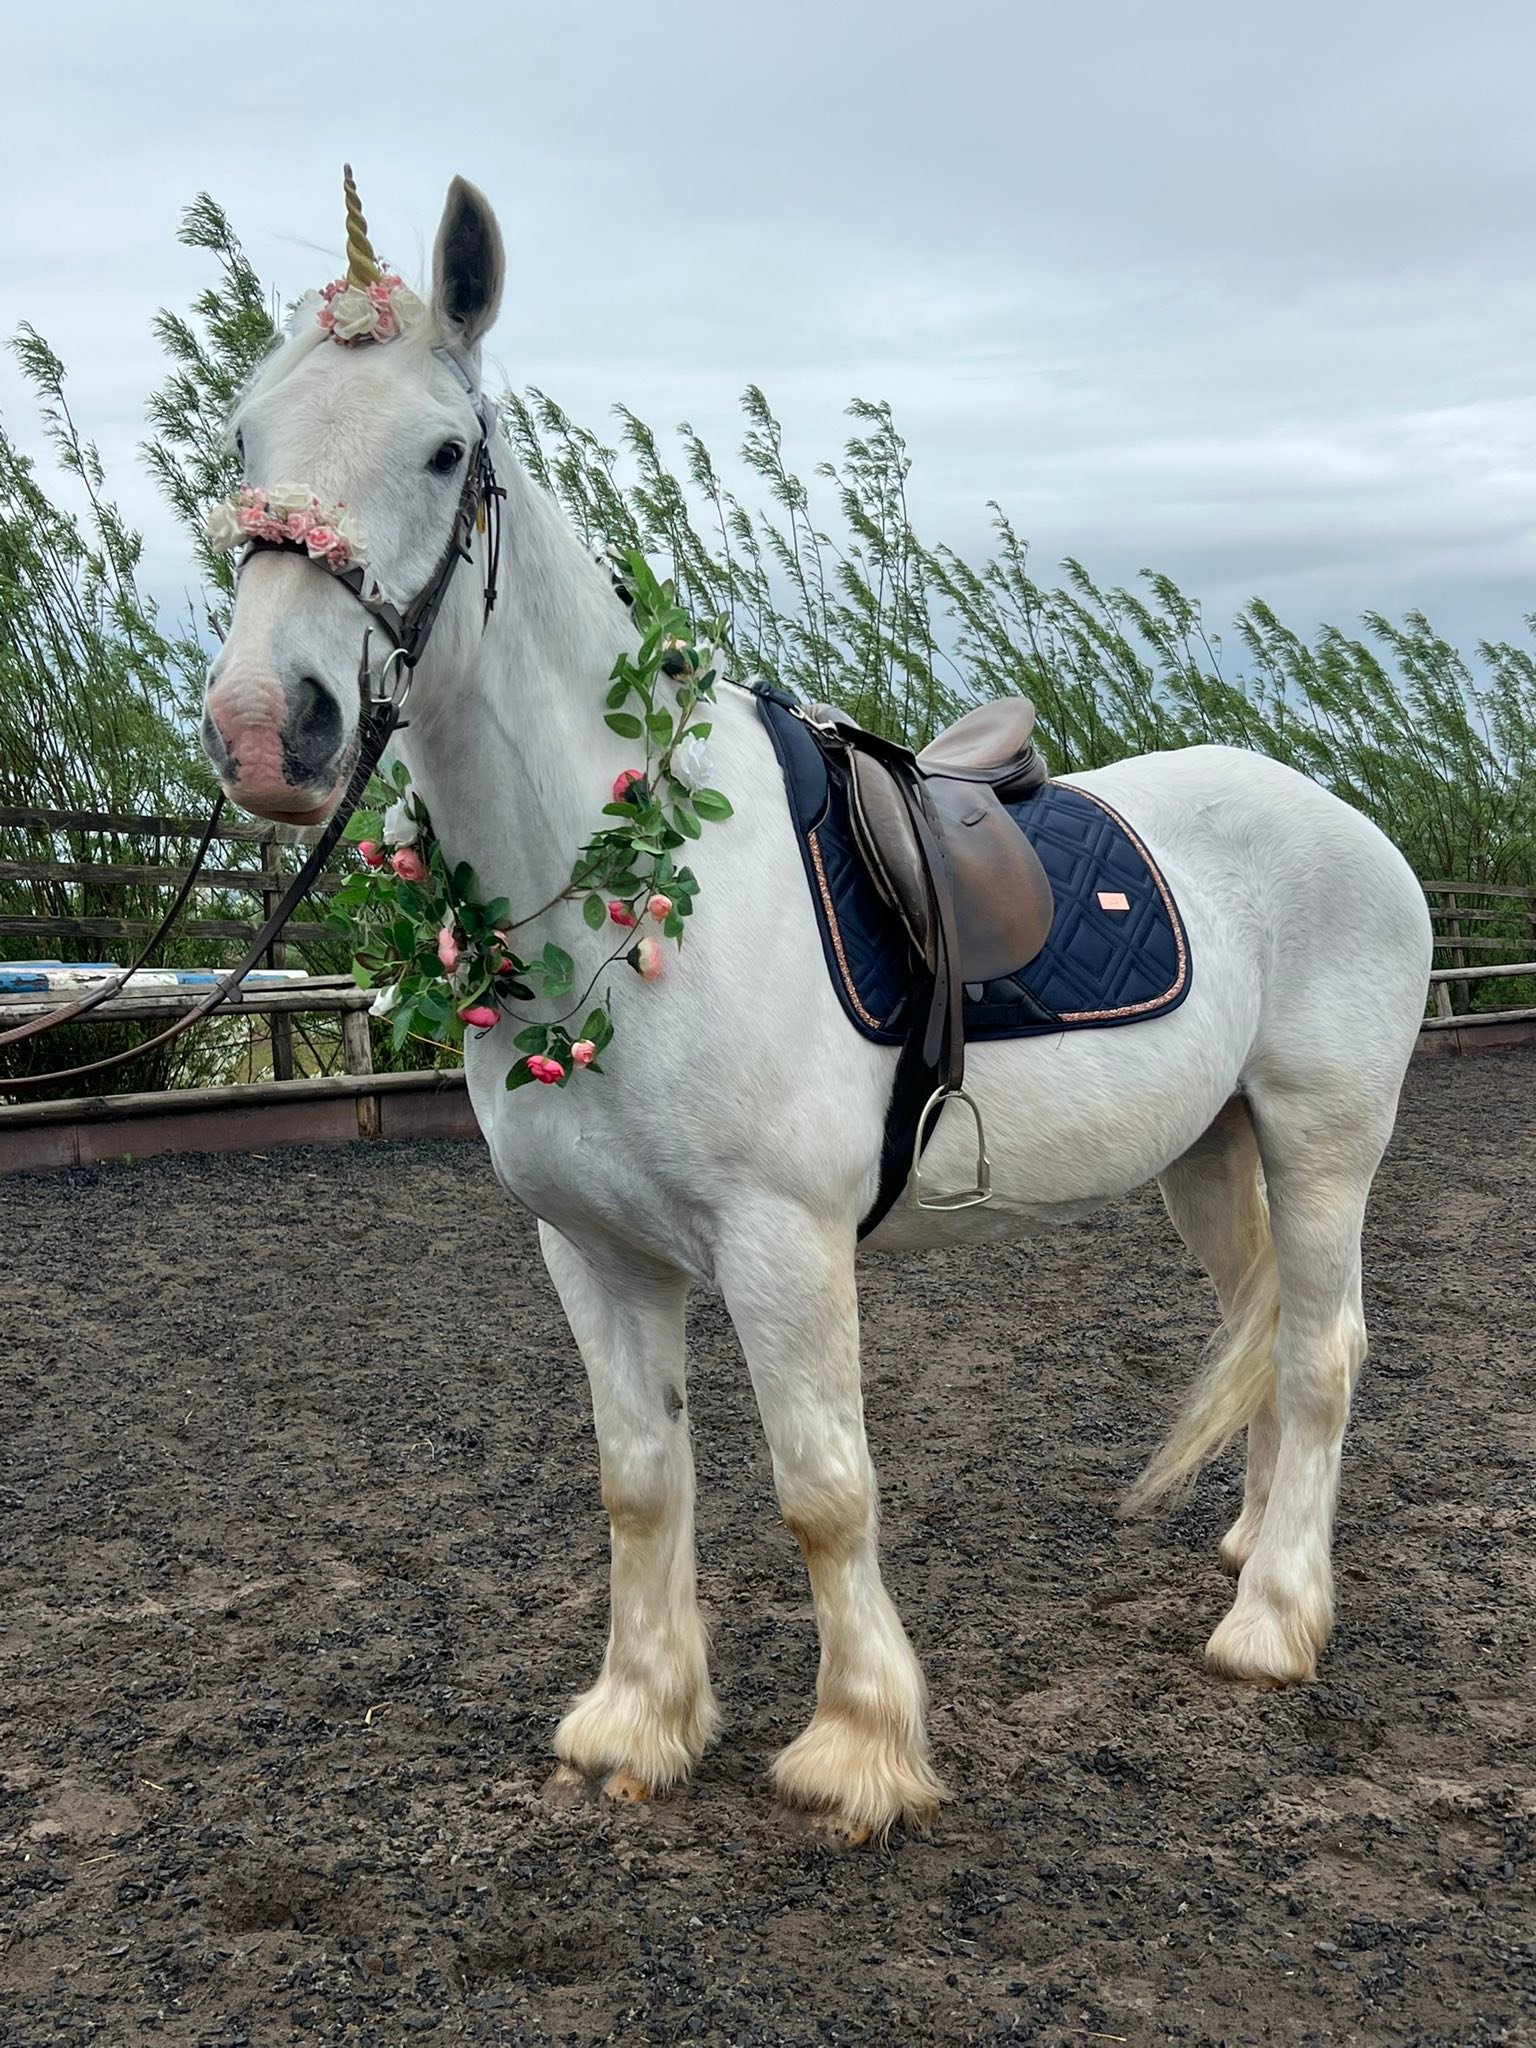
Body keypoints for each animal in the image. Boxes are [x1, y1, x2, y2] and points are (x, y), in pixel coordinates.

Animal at [201, 172, 1433, 1841]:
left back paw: (1274, 1621)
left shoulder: (781, 1246)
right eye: (243, 441)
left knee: (1320, 1352)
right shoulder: (594, 1252)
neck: (625, 893)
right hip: (1208, 1149)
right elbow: (639, 1482)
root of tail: (1341, 816)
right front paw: (639, 1723)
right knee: (1264, 1331)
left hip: (1322, 1139)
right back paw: (1250, 1551)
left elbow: (821, 1490)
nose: (269, 729)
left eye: (445, 451)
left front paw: (857, 1748)